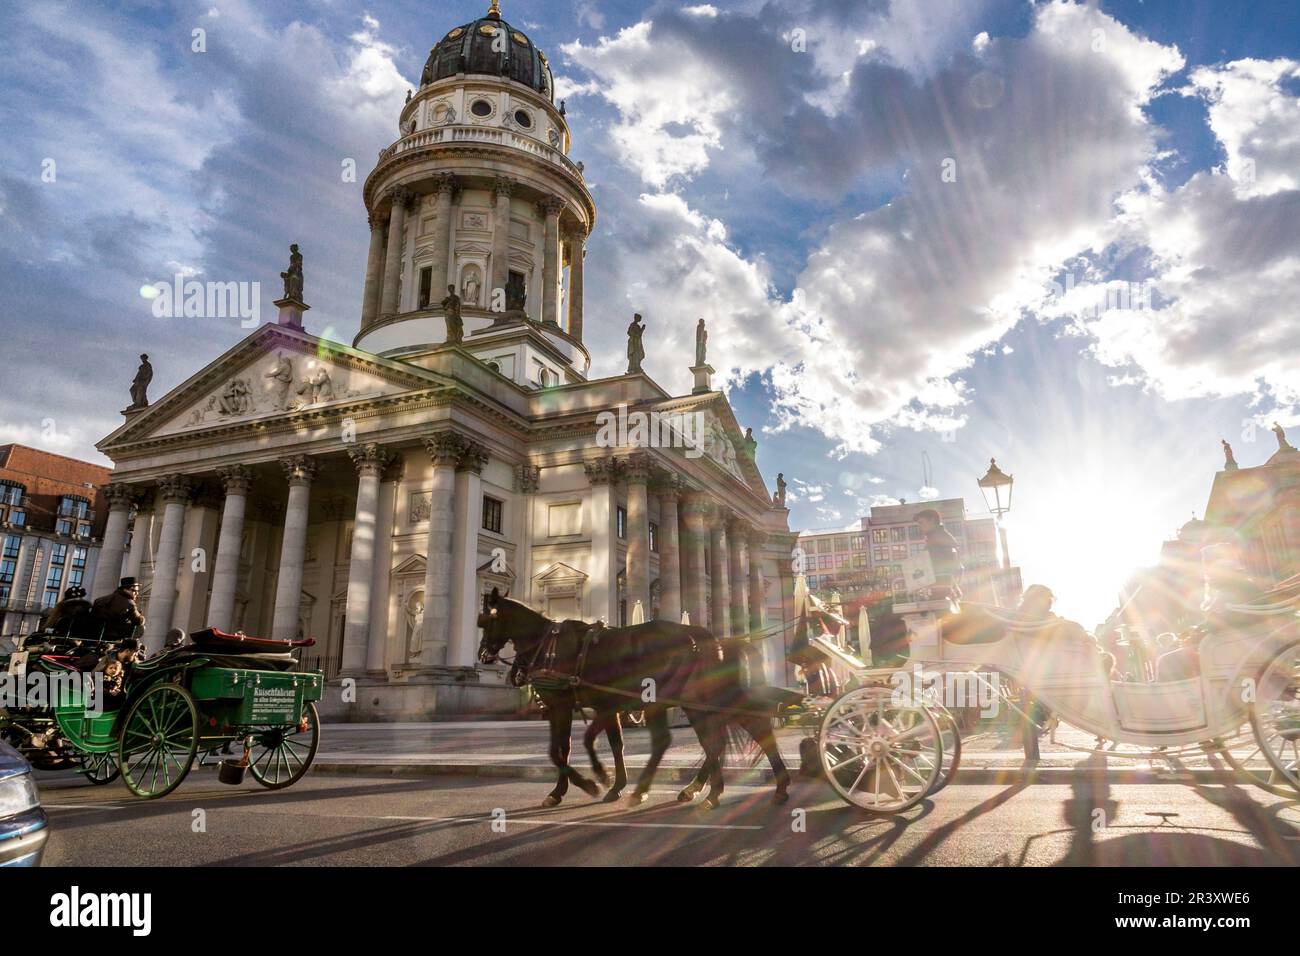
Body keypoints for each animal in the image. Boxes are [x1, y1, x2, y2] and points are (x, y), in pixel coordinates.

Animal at [478, 587, 790, 811]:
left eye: (485, 621)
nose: (483, 655)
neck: (548, 646)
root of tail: (707, 637)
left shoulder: (565, 705)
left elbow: (564, 749)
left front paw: (593, 781)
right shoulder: (605, 707)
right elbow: (607, 745)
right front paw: (609, 786)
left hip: (683, 701)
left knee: (721, 737)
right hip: (694, 702)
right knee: (719, 738)